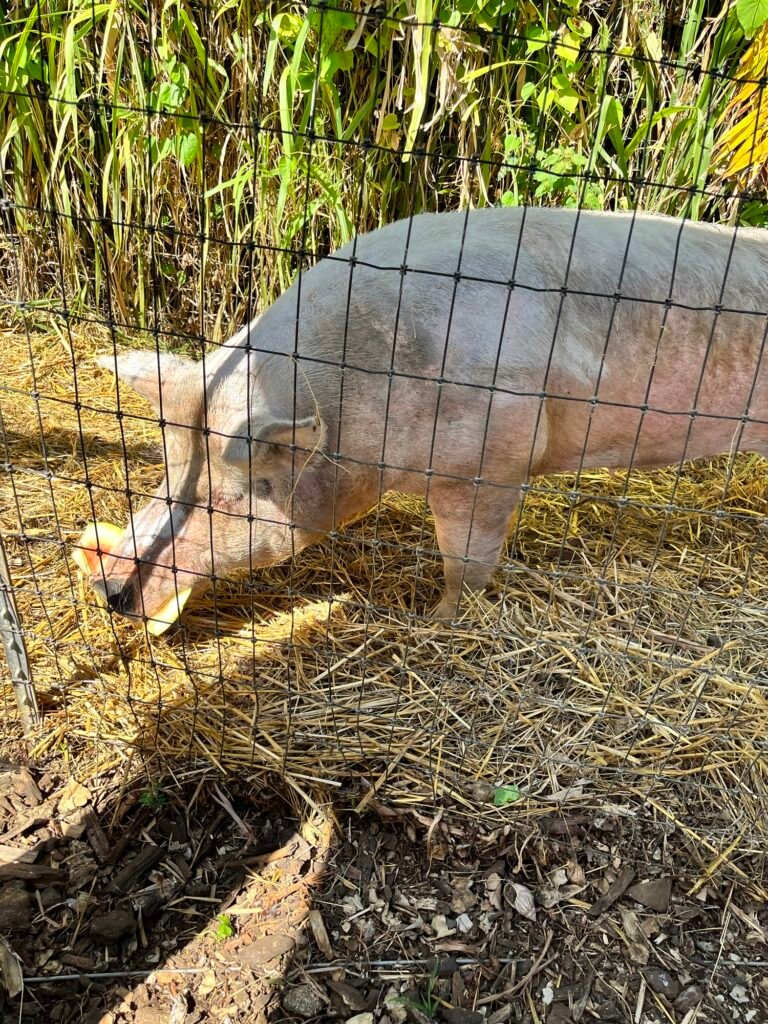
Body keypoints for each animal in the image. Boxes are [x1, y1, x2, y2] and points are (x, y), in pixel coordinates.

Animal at [91, 206, 768, 629]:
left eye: (229, 497)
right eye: (168, 469)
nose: (105, 587)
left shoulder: (490, 458)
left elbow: (466, 559)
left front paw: (435, 621)